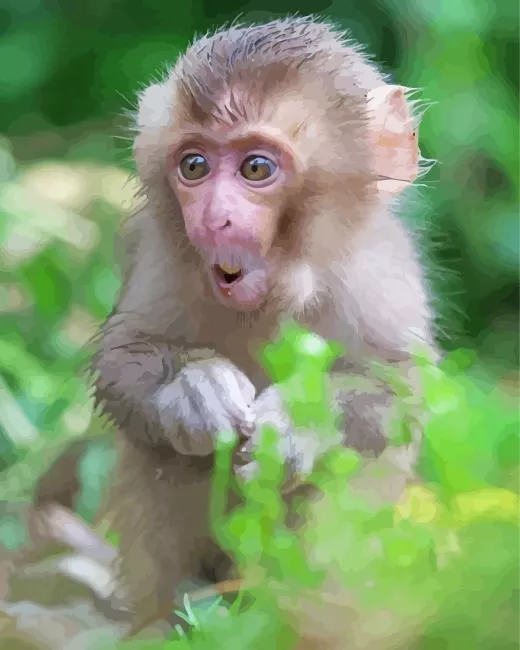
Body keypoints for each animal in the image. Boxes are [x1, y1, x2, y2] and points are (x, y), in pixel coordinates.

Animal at [89, 16, 438, 633]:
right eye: (194, 166)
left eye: (257, 168)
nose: (212, 217)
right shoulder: (164, 256)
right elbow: (122, 358)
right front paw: (194, 390)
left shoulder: (379, 274)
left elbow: (399, 388)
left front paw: (298, 423)